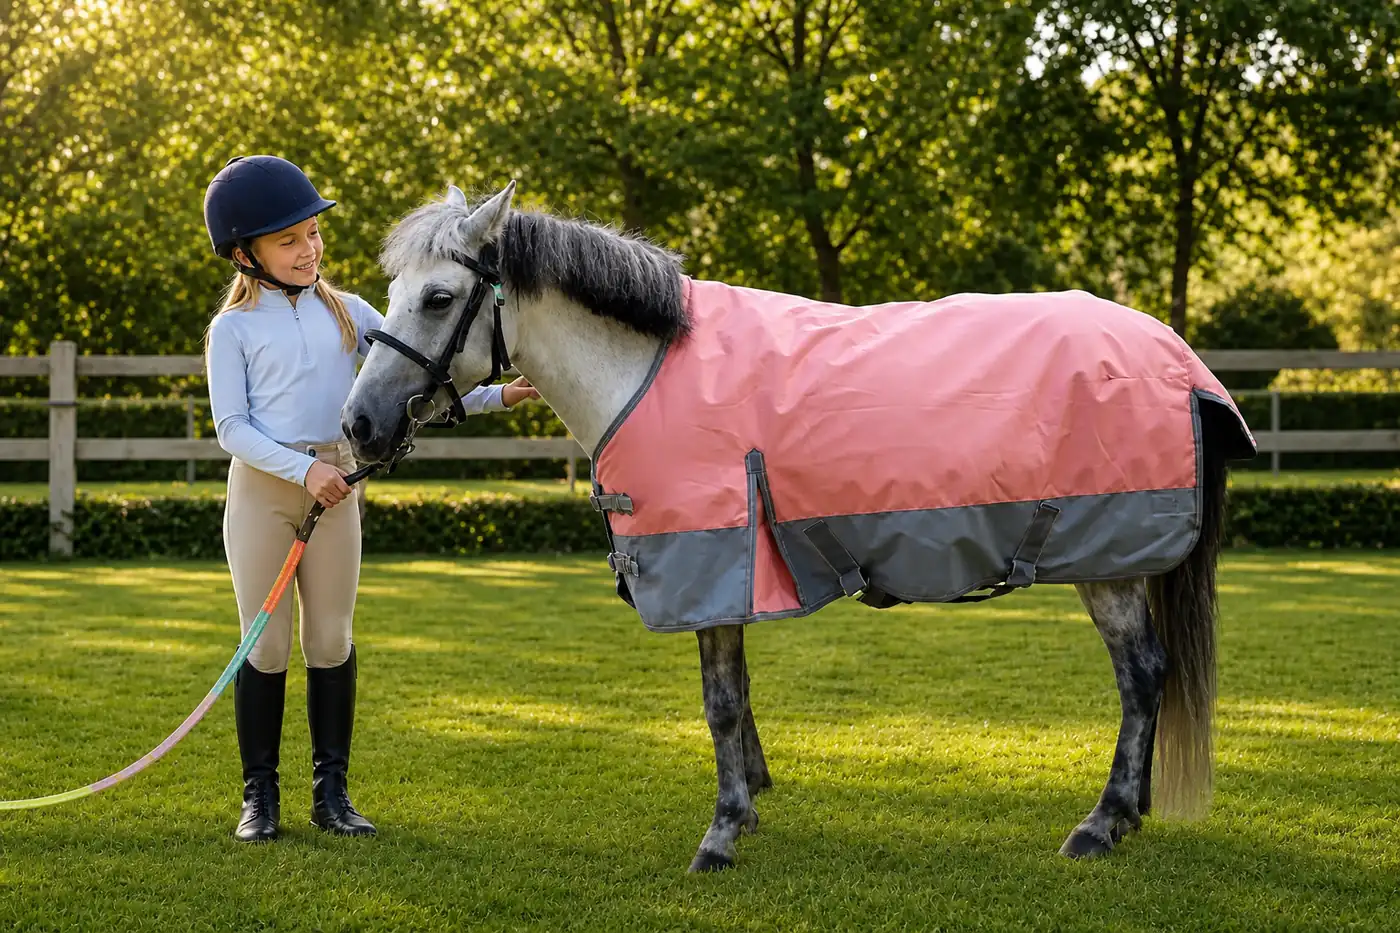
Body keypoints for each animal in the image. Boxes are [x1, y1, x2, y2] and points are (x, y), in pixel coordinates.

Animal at [341, 182, 1256, 872]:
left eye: (438, 297)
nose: (359, 425)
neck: (651, 367)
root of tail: (1178, 357)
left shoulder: (711, 564)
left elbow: (718, 704)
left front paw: (719, 834)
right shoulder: (732, 572)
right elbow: (739, 697)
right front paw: (746, 808)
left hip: (1109, 561)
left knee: (1141, 676)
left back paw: (1101, 822)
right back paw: (1125, 814)